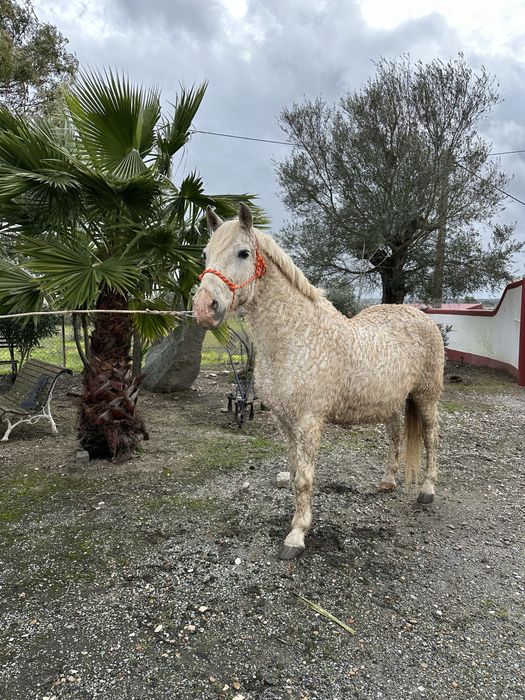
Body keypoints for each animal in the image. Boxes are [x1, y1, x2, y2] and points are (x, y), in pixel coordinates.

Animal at [194, 203, 444, 560]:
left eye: (243, 253)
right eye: (205, 254)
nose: (204, 307)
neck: (297, 338)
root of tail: (423, 316)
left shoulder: (309, 421)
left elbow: (305, 478)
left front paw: (296, 537)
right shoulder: (284, 420)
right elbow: (295, 471)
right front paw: (295, 520)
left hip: (426, 397)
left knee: (431, 439)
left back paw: (427, 491)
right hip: (393, 403)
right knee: (395, 437)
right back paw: (387, 481)